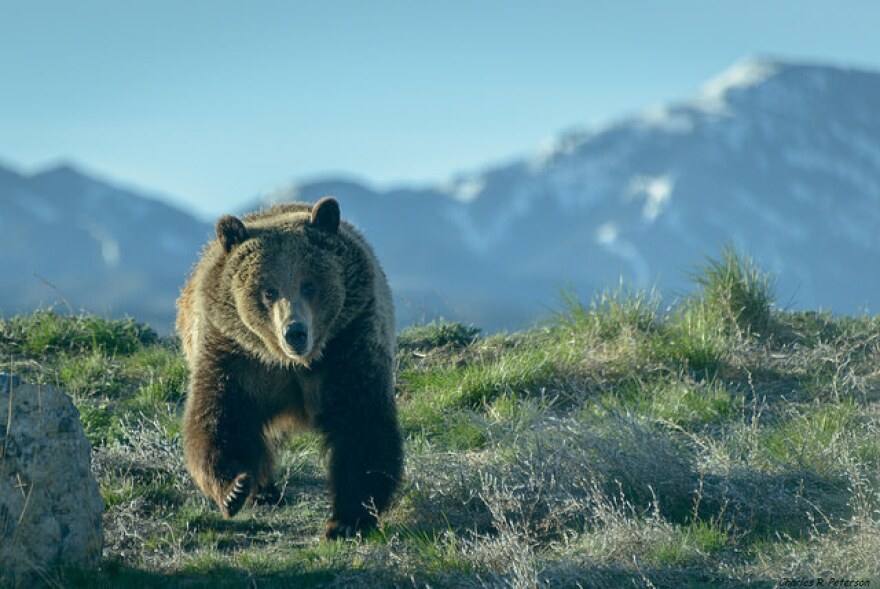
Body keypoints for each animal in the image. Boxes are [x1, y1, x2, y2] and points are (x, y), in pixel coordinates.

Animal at [177, 196, 404, 536]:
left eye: (309, 284)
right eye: (267, 290)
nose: (294, 332)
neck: (291, 363)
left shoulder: (348, 343)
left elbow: (362, 425)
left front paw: (347, 519)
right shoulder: (234, 354)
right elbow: (218, 419)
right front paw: (234, 489)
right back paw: (264, 492)